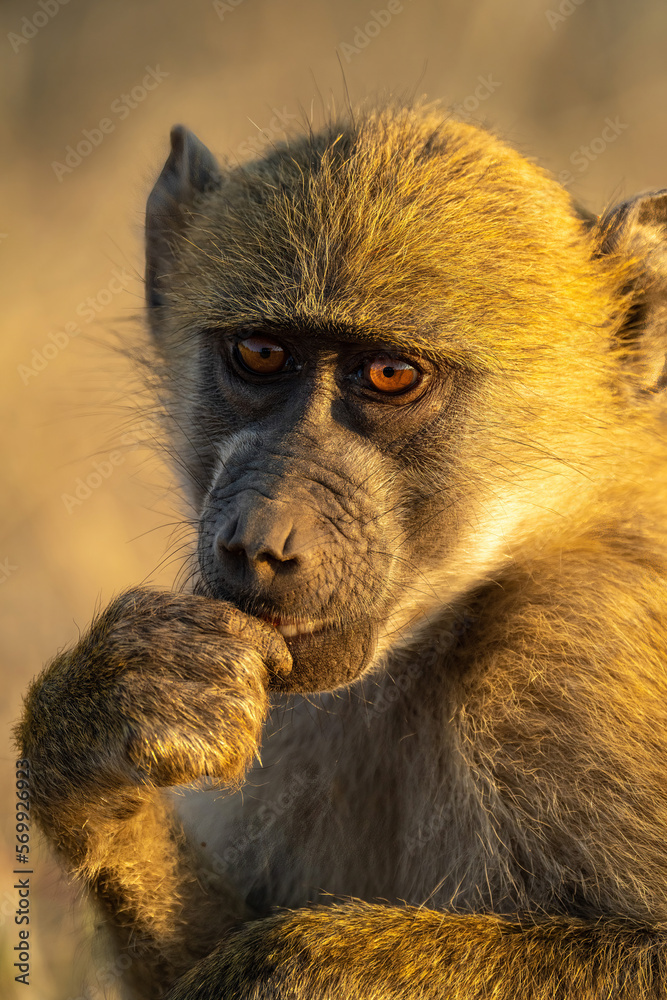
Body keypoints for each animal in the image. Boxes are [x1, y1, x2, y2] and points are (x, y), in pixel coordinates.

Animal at [16, 102, 667, 999]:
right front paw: (101, 718)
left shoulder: (576, 650)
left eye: (390, 375)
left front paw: (279, 964)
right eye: (259, 354)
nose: (258, 540)